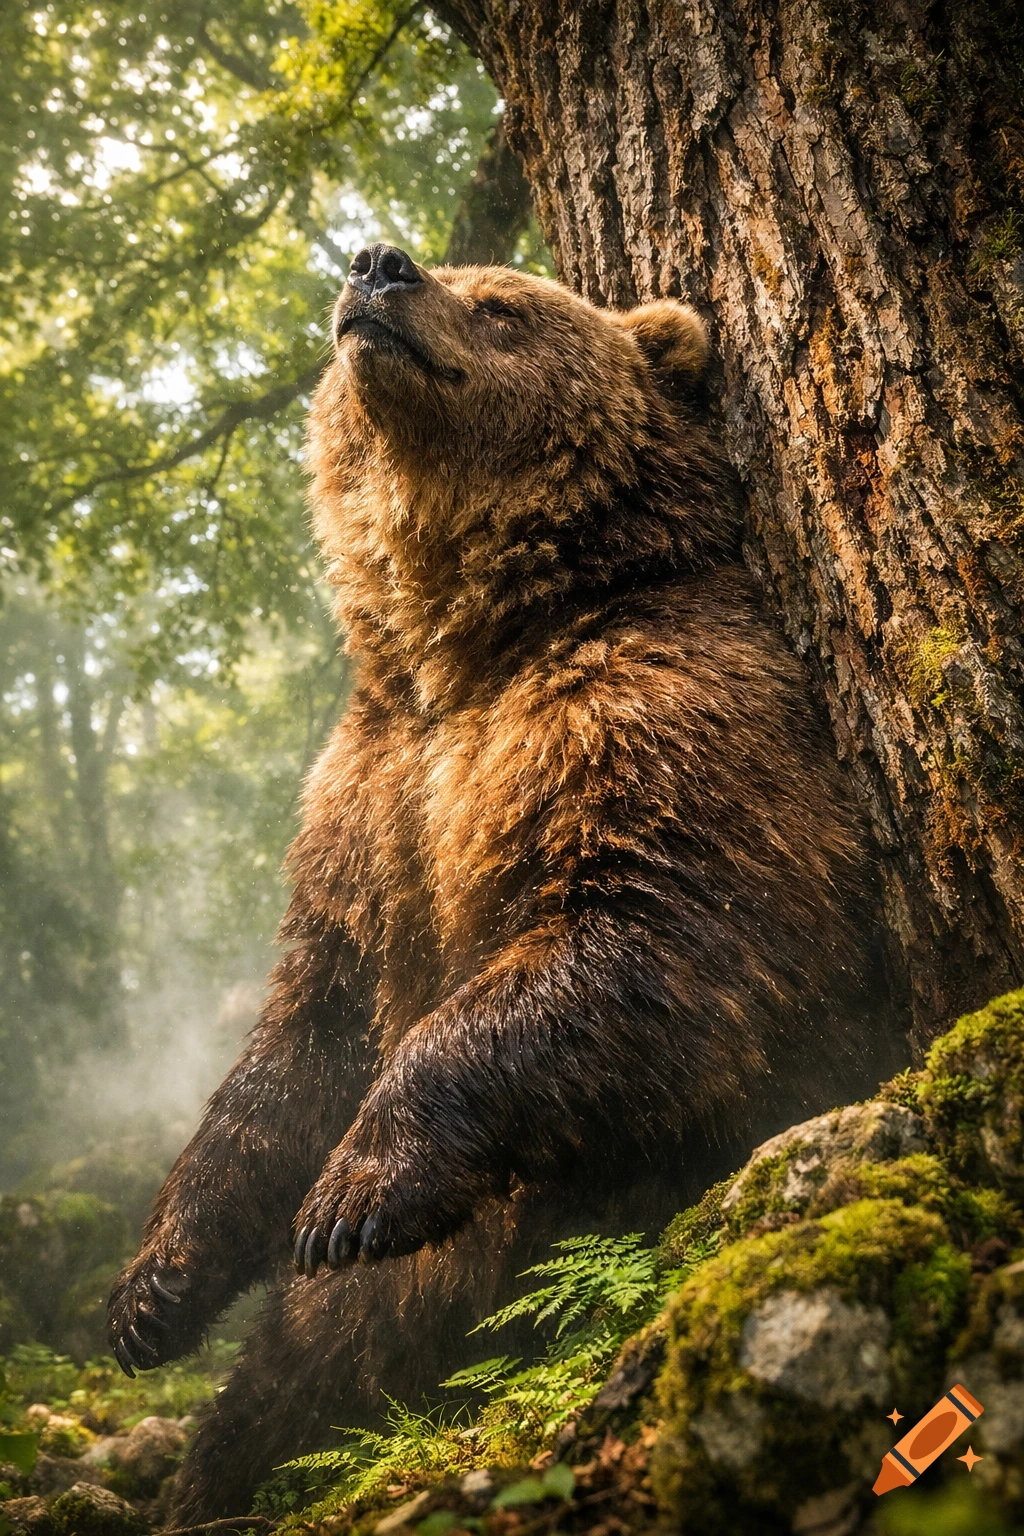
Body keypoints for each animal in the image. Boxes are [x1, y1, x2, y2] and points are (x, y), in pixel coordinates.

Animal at [107, 244, 906, 1524]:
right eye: (448, 276)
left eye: (504, 303)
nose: (377, 265)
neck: (466, 642)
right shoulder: (362, 800)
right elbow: (305, 1031)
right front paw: (154, 1290)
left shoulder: (642, 704)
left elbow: (660, 926)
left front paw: (355, 1193)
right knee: (270, 1400)